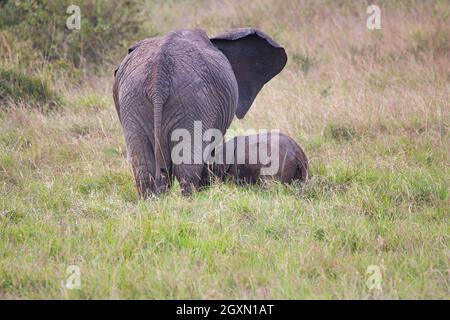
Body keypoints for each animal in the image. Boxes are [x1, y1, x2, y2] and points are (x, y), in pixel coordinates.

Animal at [114, 28, 286, 198]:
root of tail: (159, 73)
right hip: (193, 101)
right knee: (186, 166)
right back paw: (189, 200)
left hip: (134, 99)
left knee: (144, 165)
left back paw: (152, 200)